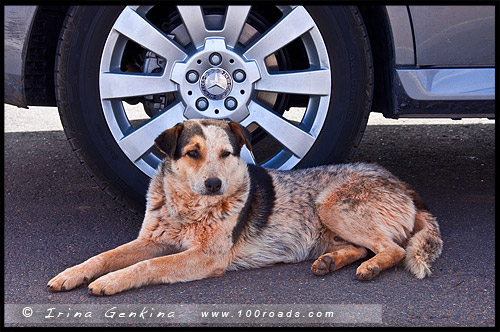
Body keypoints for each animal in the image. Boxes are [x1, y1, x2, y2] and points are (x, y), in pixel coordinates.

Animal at [48, 119, 444, 296]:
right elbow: (105, 255)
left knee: (393, 249)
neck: (187, 208)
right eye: (192, 153)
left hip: (332, 206)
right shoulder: (152, 240)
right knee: (364, 247)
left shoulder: (205, 256)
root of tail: (406, 188)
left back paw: (370, 267)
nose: (214, 184)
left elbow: (147, 266)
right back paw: (331, 262)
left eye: (227, 153)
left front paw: (109, 282)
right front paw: (74, 273)